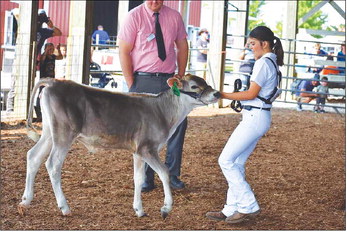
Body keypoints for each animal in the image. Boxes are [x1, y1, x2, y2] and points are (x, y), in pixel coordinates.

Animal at [18, 74, 220, 218]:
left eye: (205, 81)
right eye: (194, 86)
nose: (217, 93)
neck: (163, 112)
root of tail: (54, 81)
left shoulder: (138, 152)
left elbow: (138, 178)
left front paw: (139, 210)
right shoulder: (147, 148)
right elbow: (164, 172)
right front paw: (166, 208)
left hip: (48, 133)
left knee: (33, 156)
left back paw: (26, 200)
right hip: (63, 133)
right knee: (52, 164)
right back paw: (64, 207)